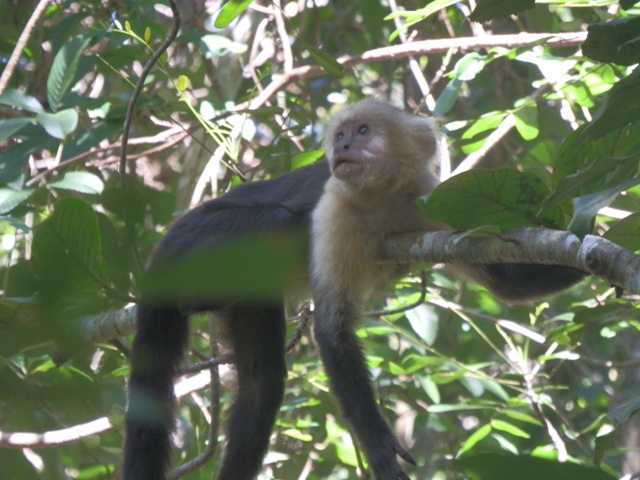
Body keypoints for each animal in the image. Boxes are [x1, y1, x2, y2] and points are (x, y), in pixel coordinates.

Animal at [122, 98, 588, 480]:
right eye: (341, 135)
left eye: (363, 131)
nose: (343, 146)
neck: (383, 198)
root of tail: (165, 242)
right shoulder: (335, 208)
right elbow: (332, 329)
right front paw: (380, 449)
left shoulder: (431, 202)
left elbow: (507, 282)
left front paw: (593, 230)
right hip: (197, 240)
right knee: (273, 221)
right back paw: (193, 296)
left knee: (262, 383)